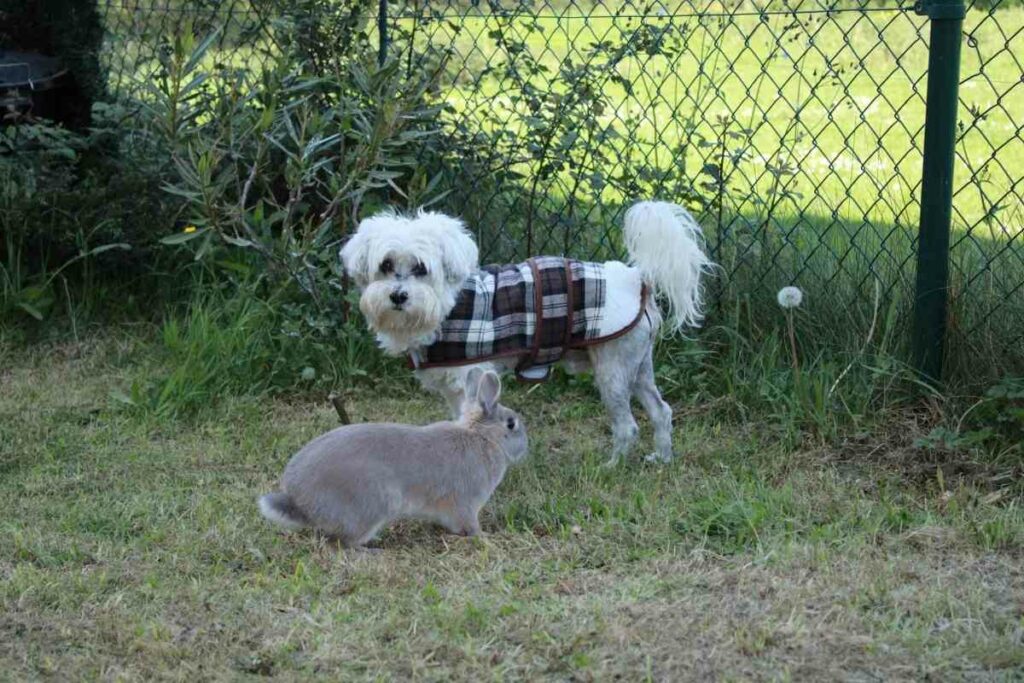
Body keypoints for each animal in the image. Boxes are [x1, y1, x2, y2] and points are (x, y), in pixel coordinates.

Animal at [258, 369, 527, 547]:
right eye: (511, 424)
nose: (526, 446)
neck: (483, 437)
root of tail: (301, 503)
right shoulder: (466, 503)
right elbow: (469, 525)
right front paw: (485, 536)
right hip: (373, 505)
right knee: (345, 543)